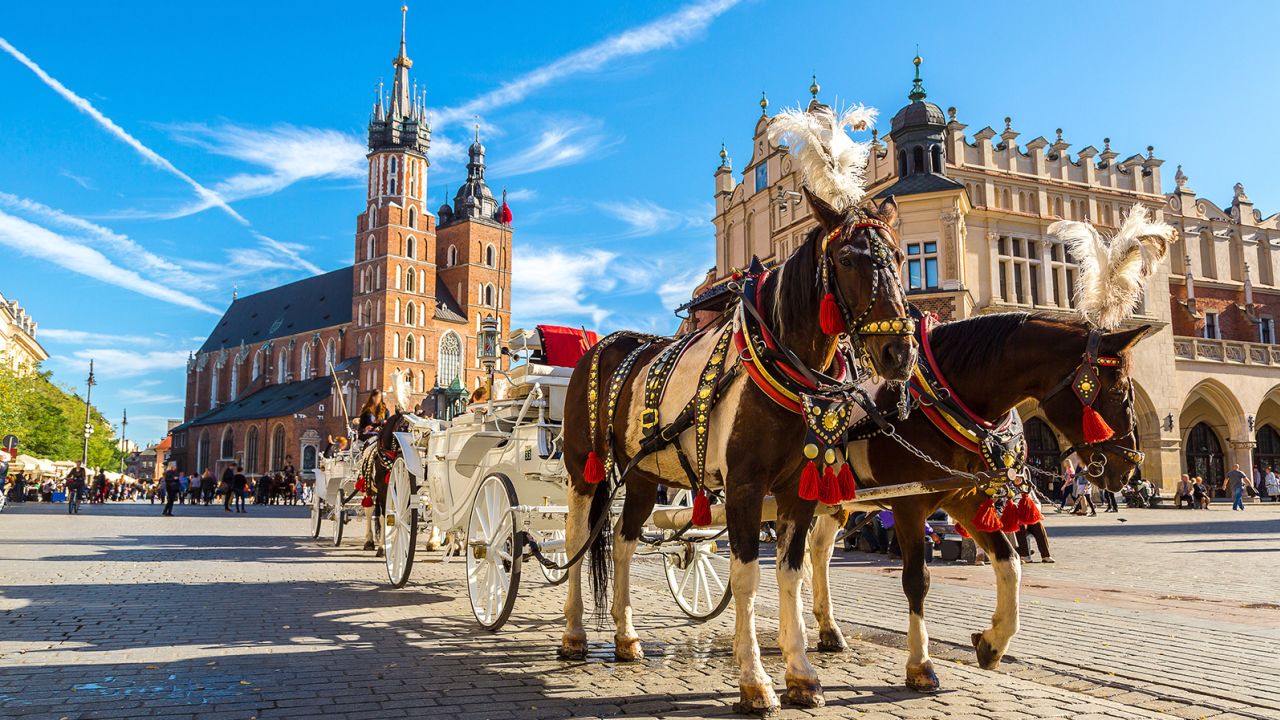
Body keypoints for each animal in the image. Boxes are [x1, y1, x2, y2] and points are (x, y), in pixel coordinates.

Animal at [558, 190, 911, 712]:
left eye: (902, 257)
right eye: (847, 259)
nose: (899, 353)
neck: (781, 363)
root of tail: (603, 345)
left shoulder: (797, 490)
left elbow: (792, 573)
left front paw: (801, 674)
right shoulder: (745, 487)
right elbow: (747, 577)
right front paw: (755, 681)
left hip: (642, 476)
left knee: (622, 543)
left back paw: (626, 638)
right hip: (585, 469)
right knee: (578, 540)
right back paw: (574, 634)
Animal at [814, 310, 1157, 691]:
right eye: (1118, 390)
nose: (1129, 467)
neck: (937, 401)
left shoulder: (965, 496)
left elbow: (1010, 563)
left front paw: (993, 642)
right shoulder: (909, 505)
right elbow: (917, 580)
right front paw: (920, 665)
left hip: (833, 501)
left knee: (818, 552)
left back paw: (829, 630)